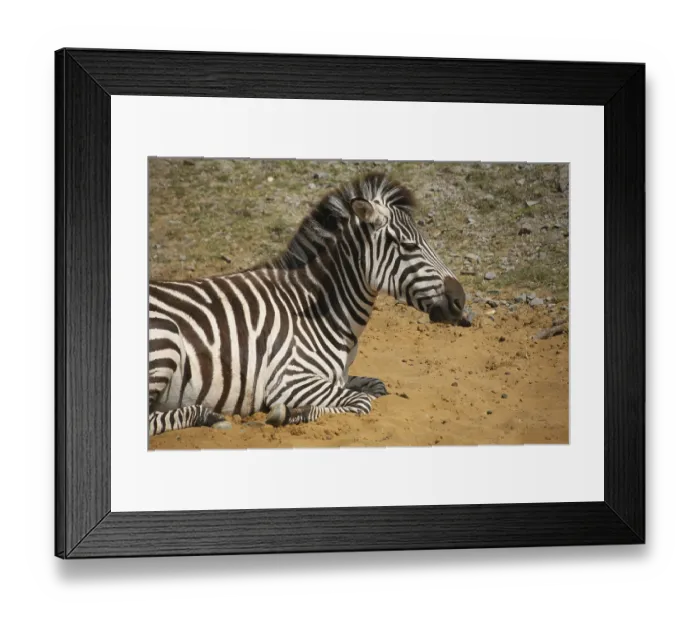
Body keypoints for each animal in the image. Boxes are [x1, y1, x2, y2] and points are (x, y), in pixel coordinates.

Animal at [148, 173, 466, 436]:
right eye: (409, 246)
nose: (460, 300)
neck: (319, 311)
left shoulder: (339, 377)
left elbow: (377, 386)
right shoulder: (290, 379)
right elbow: (363, 402)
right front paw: (288, 413)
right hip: (166, 342)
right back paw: (209, 416)